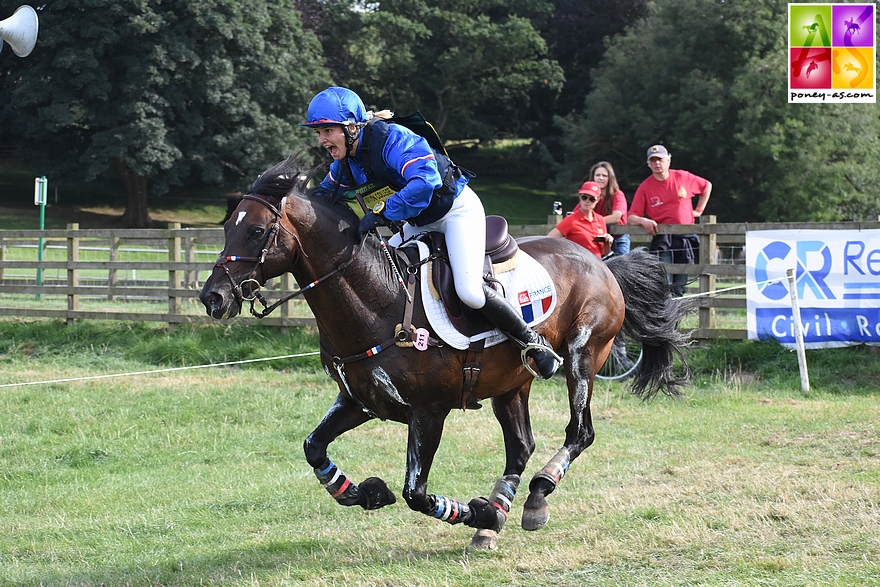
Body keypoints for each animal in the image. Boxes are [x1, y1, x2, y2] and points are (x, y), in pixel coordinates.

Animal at [199, 156, 696, 552]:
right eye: (226, 228)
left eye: (257, 230)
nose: (212, 298)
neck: (377, 299)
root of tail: (601, 261)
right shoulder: (360, 401)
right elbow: (313, 448)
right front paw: (369, 493)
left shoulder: (429, 411)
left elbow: (416, 493)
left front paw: (478, 512)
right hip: (510, 385)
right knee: (520, 447)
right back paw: (501, 516)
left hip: (583, 357)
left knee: (579, 432)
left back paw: (534, 494)